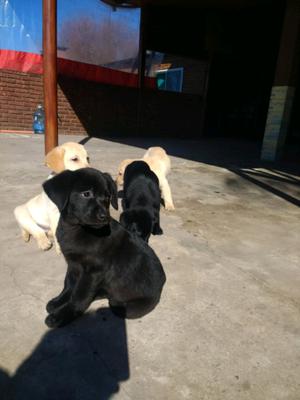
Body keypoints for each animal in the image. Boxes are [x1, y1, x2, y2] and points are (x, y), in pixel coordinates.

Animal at [42, 167, 166, 326]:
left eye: (107, 196)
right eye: (86, 194)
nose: (104, 216)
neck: (77, 229)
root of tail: (162, 286)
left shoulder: (93, 271)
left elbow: (80, 295)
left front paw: (63, 314)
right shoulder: (73, 264)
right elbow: (69, 284)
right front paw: (59, 301)